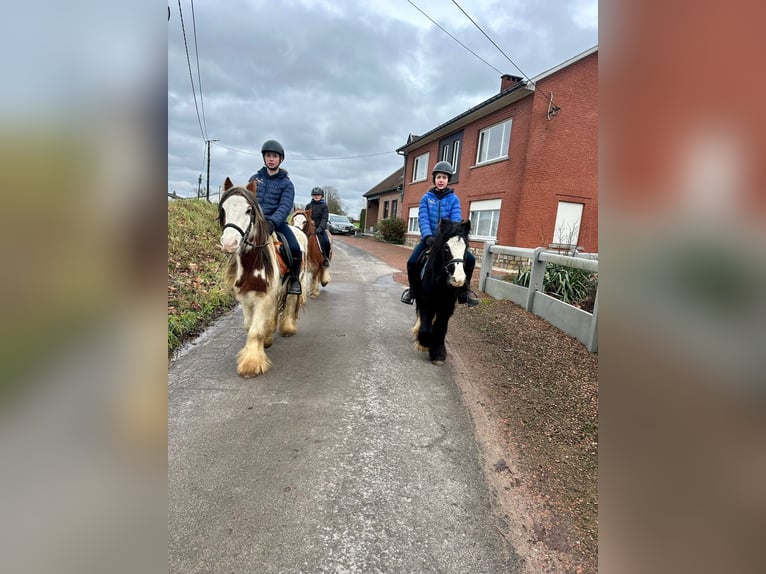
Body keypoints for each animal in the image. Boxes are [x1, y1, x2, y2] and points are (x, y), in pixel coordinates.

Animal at [218, 179, 308, 378]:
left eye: (248, 210)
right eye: (224, 209)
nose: (229, 243)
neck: (253, 261)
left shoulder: (263, 296)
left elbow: (255, 331)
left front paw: (251, 365)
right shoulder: (247, 297)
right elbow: (249, 325)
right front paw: (263, 343)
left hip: (294, 281)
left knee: (290, 302)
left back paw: (287, 328)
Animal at [414, 218, 474, 366]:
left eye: (466, 247)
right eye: (446, 248)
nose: (458, 279)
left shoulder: (447, 306)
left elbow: (440, 327)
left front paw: (438, 353)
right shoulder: (426, 302)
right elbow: (426, 328)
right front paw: (424, 343)